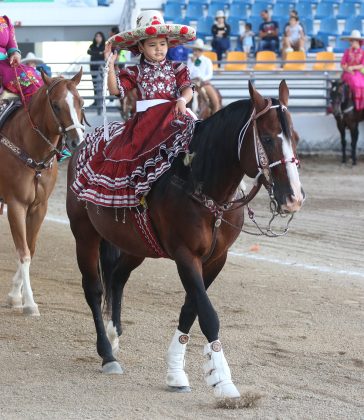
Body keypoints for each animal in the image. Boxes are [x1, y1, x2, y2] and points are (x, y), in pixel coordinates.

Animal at [0, 69, 84, 316]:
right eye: (55, 105)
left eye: (81, 102)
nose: (77, 141)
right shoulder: (16, 205)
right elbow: (24, 252)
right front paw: (29, 303)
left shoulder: (39, 207)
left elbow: (32, 248)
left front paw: (14, 296)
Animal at [66, 80, 304, 398]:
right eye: (266, 139)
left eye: (296, 138)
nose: (293, 198)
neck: (202, 185)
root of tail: (82, 144)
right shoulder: (185, 255)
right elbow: (208, 314)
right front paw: (223, 381)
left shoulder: (216, 259)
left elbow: (191, 309)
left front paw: (177, 372)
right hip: (84, 235)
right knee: (93, 289)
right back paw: (107, 354)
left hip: (135, 245)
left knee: (117, 277)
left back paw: (115, 335)